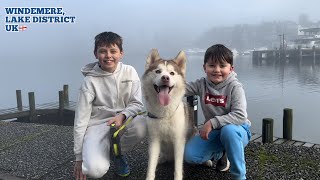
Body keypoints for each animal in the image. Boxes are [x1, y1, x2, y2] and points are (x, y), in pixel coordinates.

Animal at [142, 49, 190, 180]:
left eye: (172, 73)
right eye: (158, 71)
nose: (165, 78)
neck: (164, 113)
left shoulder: (178, 140)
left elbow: (178, 168)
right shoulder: (154, 140)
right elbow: (150, 166)